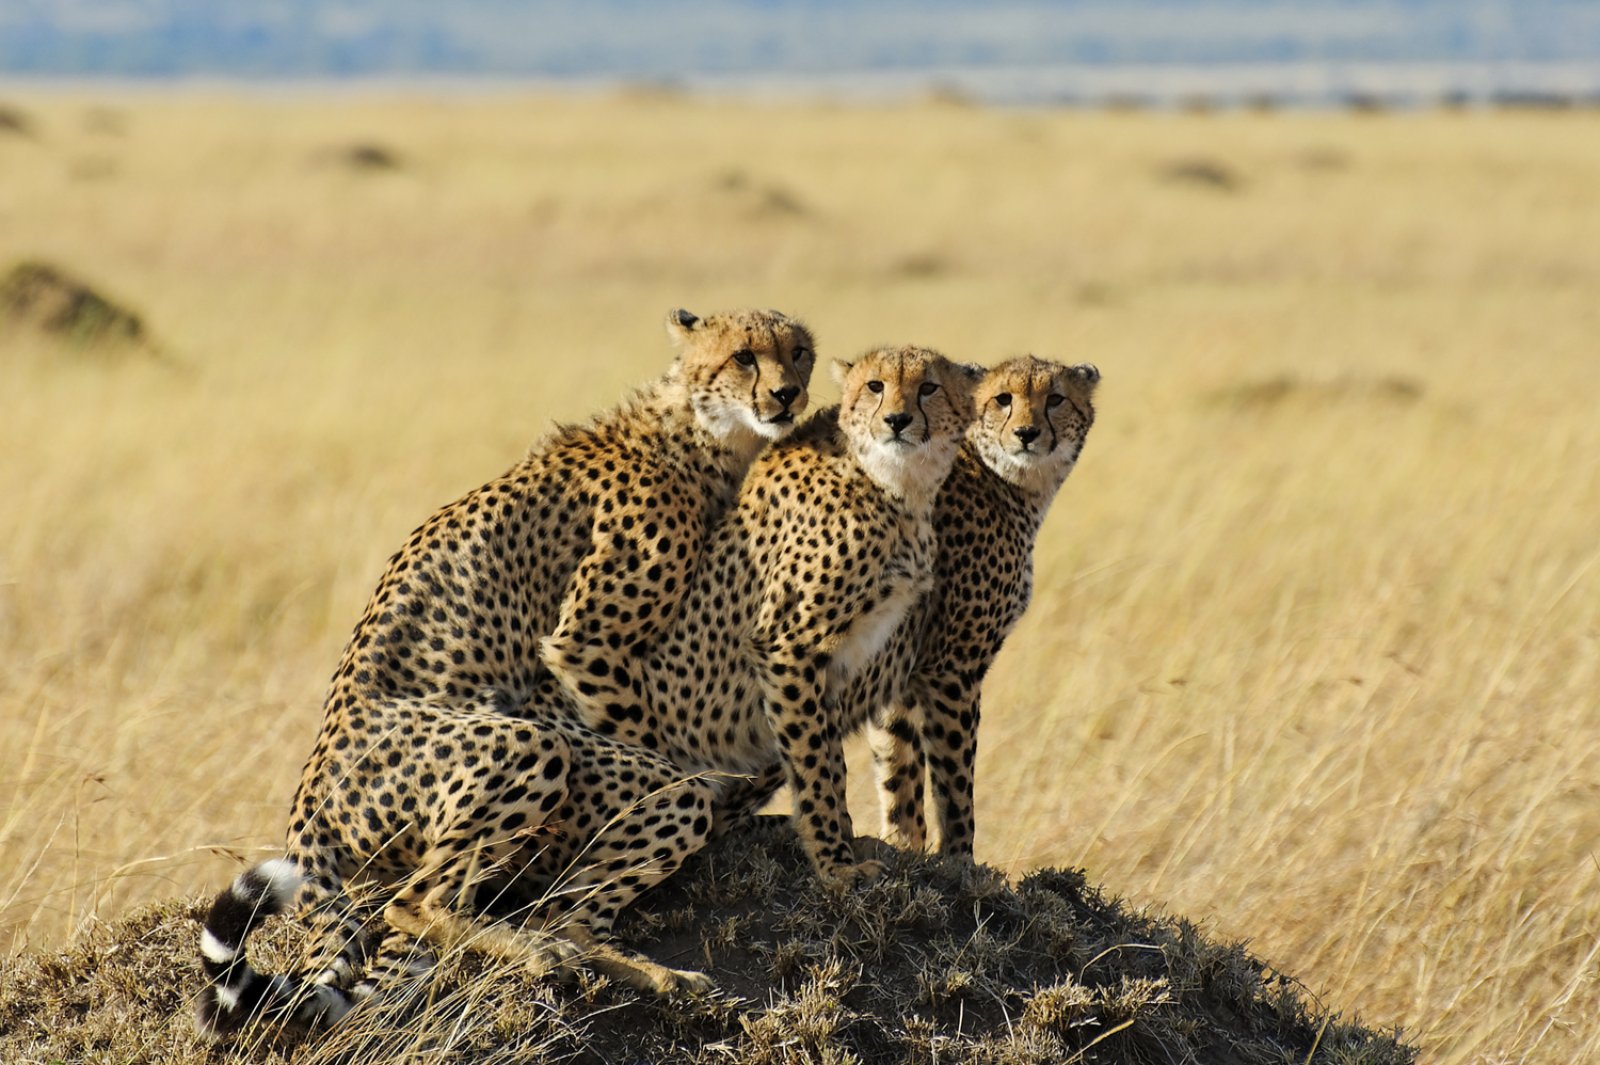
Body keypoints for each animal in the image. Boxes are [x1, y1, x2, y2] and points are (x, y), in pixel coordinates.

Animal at [193, 308, 812, 1036]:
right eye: (744, 356)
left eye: (800, 352)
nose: (787, 395)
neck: (698, 430)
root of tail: (306, 805)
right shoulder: (586, 642)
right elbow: (653, 738)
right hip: (520, 743)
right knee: (423, 901)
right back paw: (560, 955)